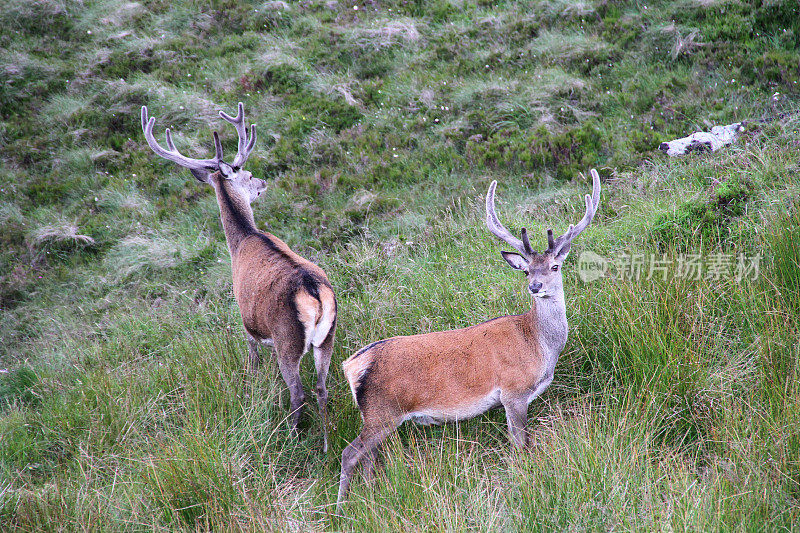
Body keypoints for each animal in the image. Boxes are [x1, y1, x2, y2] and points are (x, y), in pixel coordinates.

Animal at [142, 103, 336, 448]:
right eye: (247, 174)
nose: (262, 182)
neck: (243, 240)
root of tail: (313, 290)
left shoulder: (245, 318)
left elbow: (253, 359)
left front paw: (253, 386)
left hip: (287, 338)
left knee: (299, 393)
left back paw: (292, 436)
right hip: (327, 337)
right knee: (322, 389)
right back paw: (327, 445)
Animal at [336, 169, 600, 508]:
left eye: (555, 266)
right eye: (526, 270)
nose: (536, 286)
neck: (539, 345)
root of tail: (352, 364)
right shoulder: (513, 391)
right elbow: (521, 443)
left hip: (378, 416)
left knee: (367, 458)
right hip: (382, 411)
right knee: (349, 454)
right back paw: (340, 508)